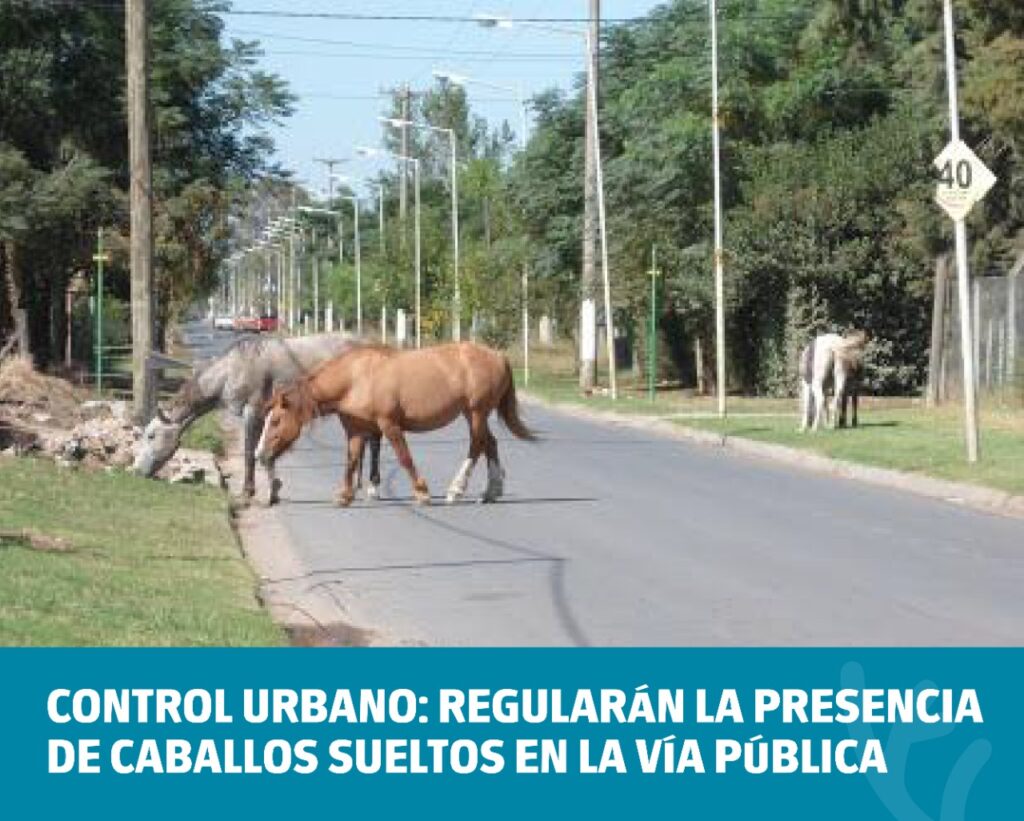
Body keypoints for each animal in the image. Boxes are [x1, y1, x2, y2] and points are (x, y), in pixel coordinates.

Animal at [133, 334, 381, 505]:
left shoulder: (253, 413)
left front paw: (248, 491)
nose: (137, 472)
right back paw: (358, 485)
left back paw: (373, 487)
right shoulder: (266, 417)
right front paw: (274, 490)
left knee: (375, 442)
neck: (233, 369)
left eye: (151, 435)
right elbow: (264, 451)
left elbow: (249, 453)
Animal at [255, 341, 537, 506]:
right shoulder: (356, 430)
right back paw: (491, 491)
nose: (259, 455)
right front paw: (345, 495)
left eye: (276, 421)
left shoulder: (389, 425)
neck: (355, 379)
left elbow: (404, 457)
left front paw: (421, 492)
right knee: (490, 443)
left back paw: (456, 489)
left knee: (477, 445)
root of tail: (497, 355)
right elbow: (352, 460)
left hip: (476, 411)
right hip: (475, 414)